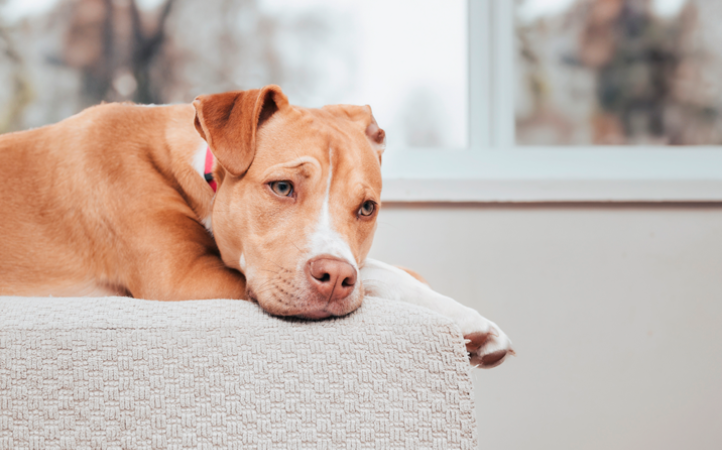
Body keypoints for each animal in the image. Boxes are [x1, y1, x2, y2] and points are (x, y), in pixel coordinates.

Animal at [0, 85, 512, 370]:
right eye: (282, 187)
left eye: (367, 208)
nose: (335, 279)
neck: (200, 166)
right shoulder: (181, 277)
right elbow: (376, 274)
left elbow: (382, 269)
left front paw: (472, 322)